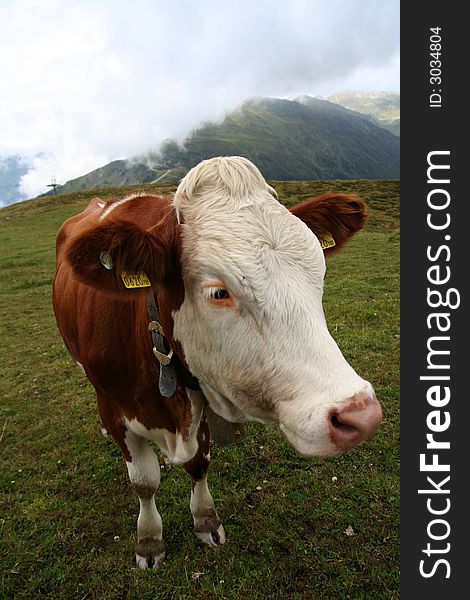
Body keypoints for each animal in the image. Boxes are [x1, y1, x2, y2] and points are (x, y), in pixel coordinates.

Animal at [52, 154, 382, 568]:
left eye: (318, 272)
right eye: (218, 292)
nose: (359, 413)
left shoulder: (202, 395)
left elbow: (200, 463)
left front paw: (205, 520)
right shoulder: (115, 408)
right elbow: (144, 481)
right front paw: (149, 540)